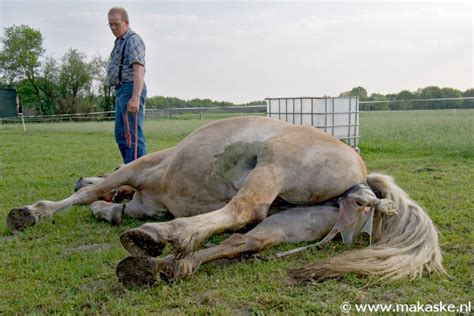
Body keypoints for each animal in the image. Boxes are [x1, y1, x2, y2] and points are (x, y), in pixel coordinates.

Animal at [7, 115, 446, 288]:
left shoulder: (139, 168)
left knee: (242, 209)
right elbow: (109, 204)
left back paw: (163, 237)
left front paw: (31, 213)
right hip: (292, 222)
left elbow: (89, 194)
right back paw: (161, 266)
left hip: (272, 165)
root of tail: (362, 181)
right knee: (244, 239)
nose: (78, 173)